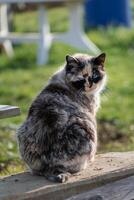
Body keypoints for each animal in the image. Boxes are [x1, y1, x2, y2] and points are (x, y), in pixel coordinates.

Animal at [16, 52, 107, 183]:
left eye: (94, 76)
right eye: (81, 79)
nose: (89, 85)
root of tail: (51, 165)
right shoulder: (91, 114)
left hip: (20, 131)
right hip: (87, 130)